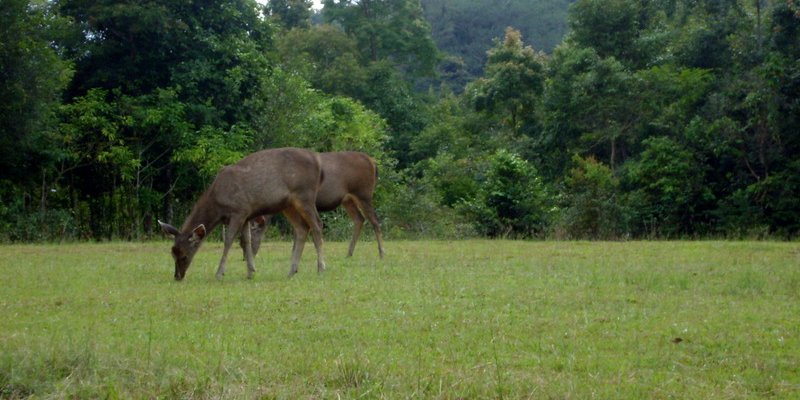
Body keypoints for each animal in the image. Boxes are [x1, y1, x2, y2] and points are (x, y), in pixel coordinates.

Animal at [158, 145, 326, 280]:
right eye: (172, 253)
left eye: (184, 255)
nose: (177, 276)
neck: (218, 205)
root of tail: (319, 165)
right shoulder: (246, 215)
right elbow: (246, 240)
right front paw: (251, 272)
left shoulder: (238, 211)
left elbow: (228, 240)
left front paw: (219, 273)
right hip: (289, 205)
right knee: (302, 228)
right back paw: (292, 271)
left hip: (305, 195)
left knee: (317, 225)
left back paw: (321, 268)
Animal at [241, 150, 384, 260]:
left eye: (253, 230)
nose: (244, 256)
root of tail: (373, 163)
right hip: (347, 200)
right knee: (359, 219)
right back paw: (349, 253)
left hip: (363, 193)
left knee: (375, 220)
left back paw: (382, 253)